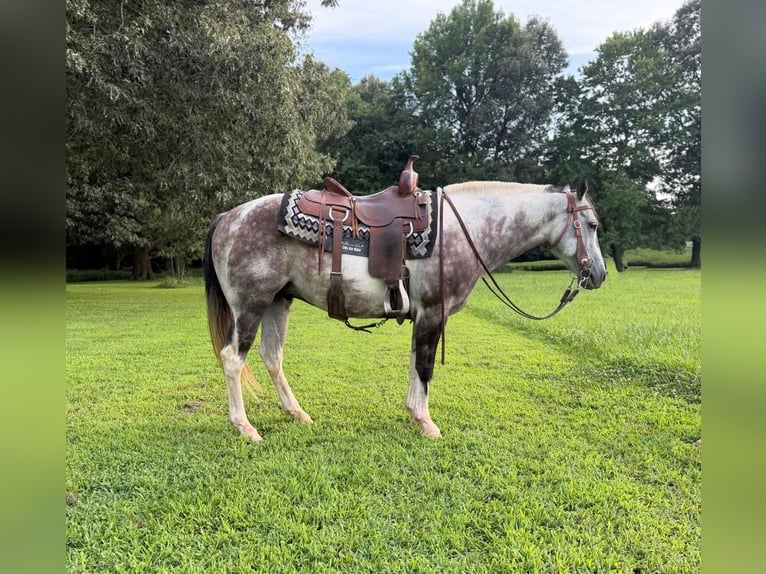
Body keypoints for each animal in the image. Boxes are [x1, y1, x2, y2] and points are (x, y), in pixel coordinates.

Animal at [203, 178, 607, 441]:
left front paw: (415, 414)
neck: (465, 229)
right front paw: (427, 423)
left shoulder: (423, 316)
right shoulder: (433, 313)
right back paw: (245, 427)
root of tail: (228, 216)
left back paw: (297, 413)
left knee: (272, 357)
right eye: (591, 225)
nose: (600, 275)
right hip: (250, 306)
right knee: (232, 358)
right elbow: (425, 366)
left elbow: (415, 362)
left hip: (277, 302)